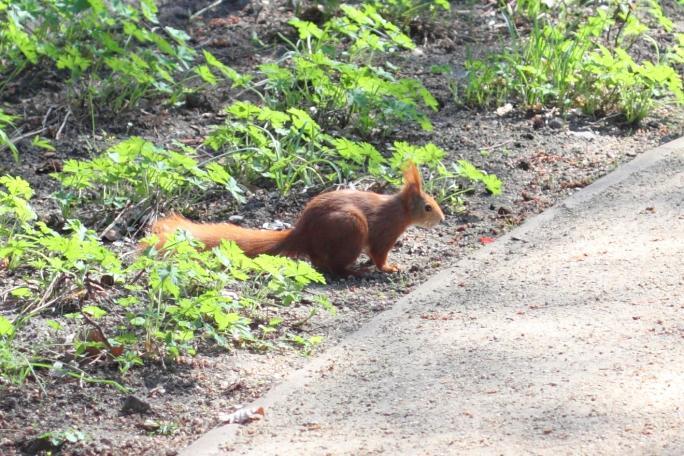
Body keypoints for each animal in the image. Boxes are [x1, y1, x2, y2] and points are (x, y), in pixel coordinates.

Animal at [150, 164, 444, 278]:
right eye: (428, 207)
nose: (442, 218)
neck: (399, 211)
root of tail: (303, 234)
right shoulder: (384, 232)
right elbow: (380, 254)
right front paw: (389, 268)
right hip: (350, 230)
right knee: (333, 266)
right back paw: (354, 271)